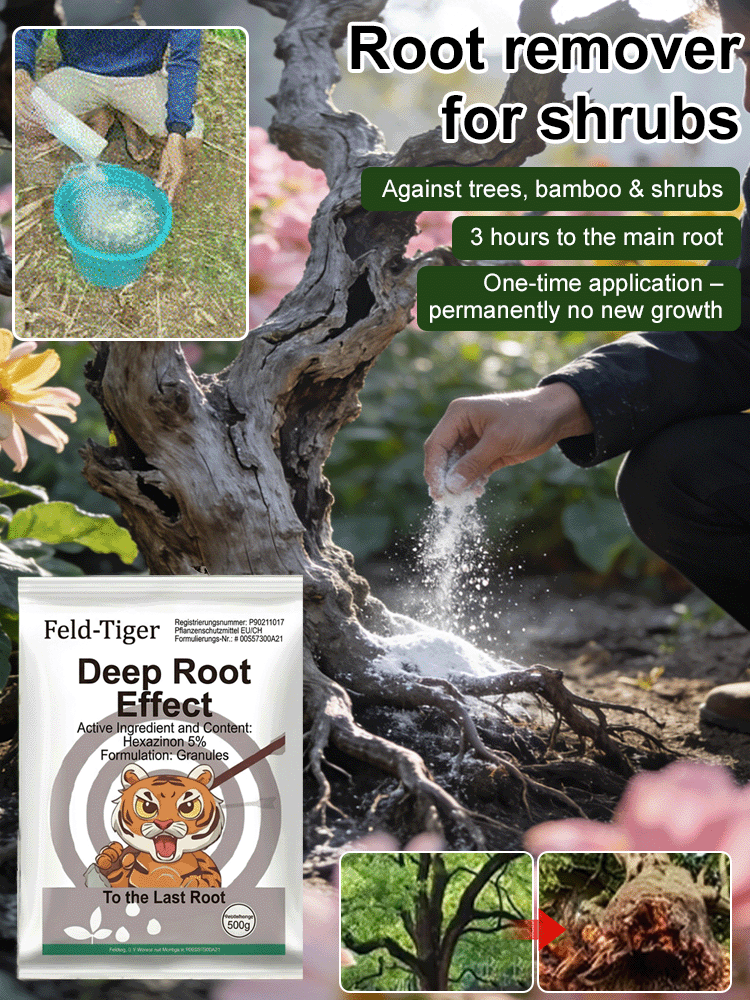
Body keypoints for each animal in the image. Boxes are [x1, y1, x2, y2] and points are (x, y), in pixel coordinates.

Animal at [94, 763, 225, 888]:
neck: (165, 863)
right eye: (147, 806)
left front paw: (194, 883)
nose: (163, 823)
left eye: (188, 807)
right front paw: (110, 856)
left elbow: (212, 878)